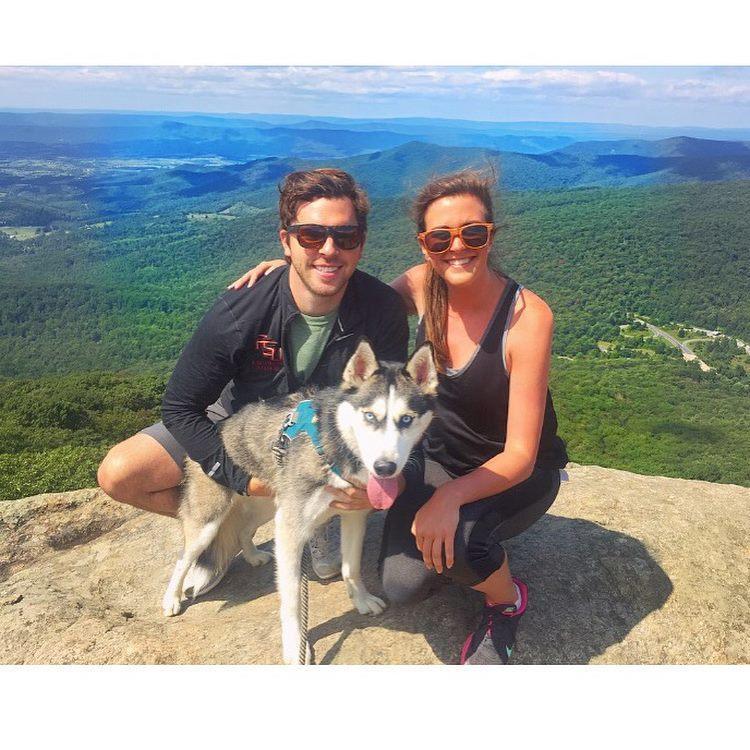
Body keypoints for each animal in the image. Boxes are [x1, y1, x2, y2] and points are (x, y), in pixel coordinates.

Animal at [162, 340, 438, 664]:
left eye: (406, 419)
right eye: (370, 416)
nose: (385, 468)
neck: (335, 444)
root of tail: (218, 429)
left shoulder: (354, 515)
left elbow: (352, 567)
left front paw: (360, 600)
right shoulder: (291, 530)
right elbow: (292, 597)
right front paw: (295, 647)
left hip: (269, 504)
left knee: (243, 529)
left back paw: (252, 556)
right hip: (210, 520)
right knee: (183, 558)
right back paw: (171, 599)